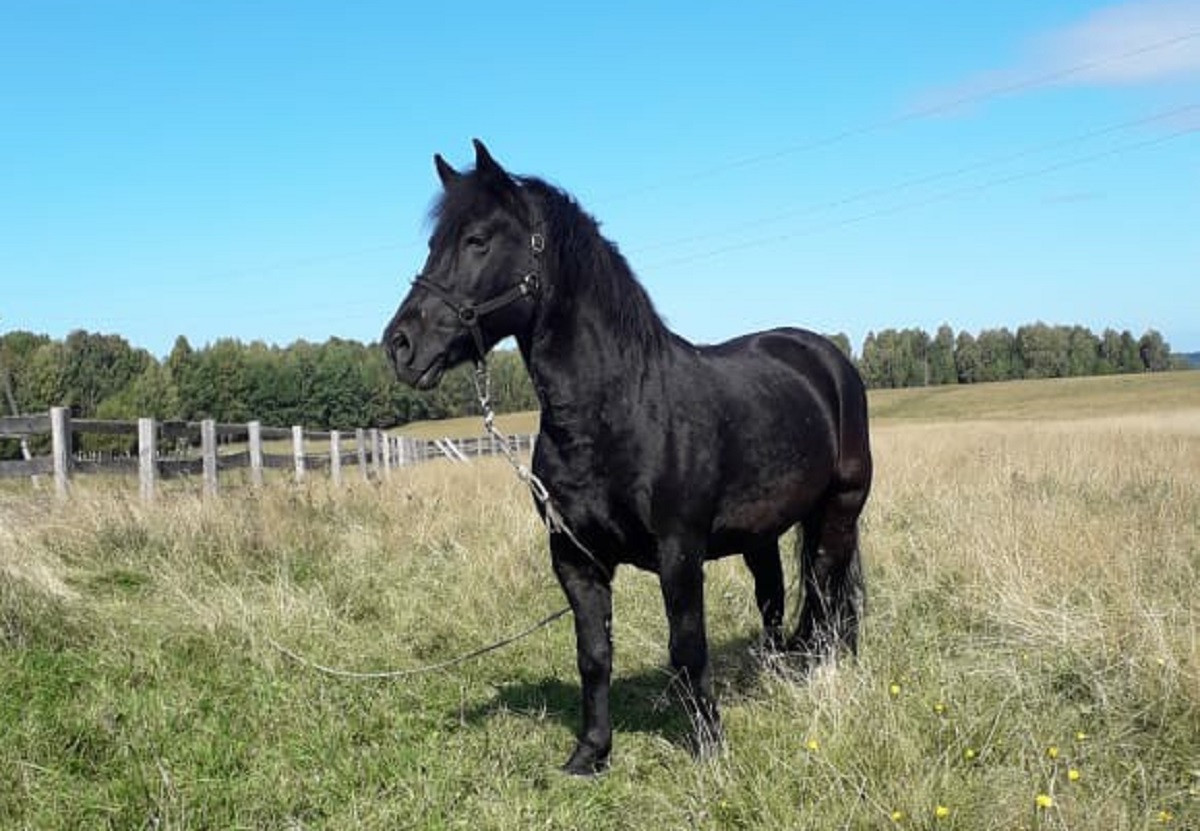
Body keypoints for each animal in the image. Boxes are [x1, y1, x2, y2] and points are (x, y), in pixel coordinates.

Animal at [384, 141, 873, 773]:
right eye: (432, 244)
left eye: (477, 240)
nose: (400, 345)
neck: (617, 411)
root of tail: (826, 359)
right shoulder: (575, 559)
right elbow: (593, 654)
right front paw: (590, 753)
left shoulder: (679, 554)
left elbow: (687, 648)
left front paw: (709, 747)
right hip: (760, 532)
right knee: (775, 596)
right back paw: (773, 670)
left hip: (839, 510)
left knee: (827, 593)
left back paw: (825, 669)